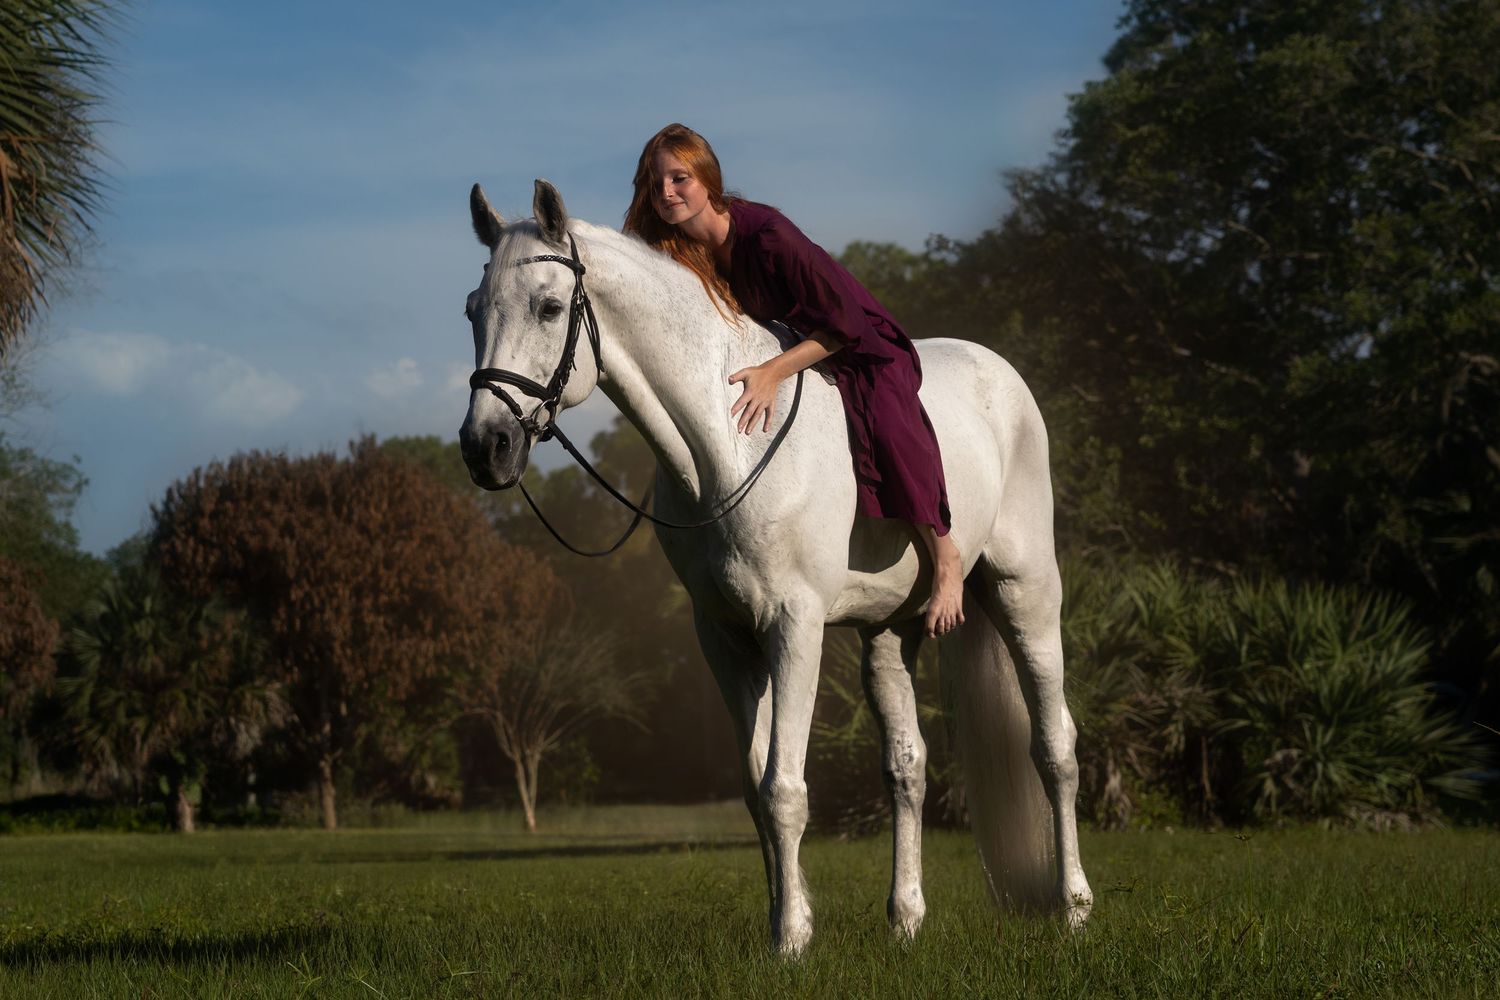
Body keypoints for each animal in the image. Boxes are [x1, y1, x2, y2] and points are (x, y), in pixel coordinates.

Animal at [458, 179, 1093, 955]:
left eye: (550, 307)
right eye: (473, 309)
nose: (485, 447)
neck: (727, 443)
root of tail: (1001, 375)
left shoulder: (794, 626)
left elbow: (784, 789)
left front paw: (792, 940)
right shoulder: (725, 637)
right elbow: (755, 786)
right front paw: (782, 924)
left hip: (1025, 594)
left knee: (1055, 748)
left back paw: (1073, 906)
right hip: (890, 633)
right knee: (906, 766)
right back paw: (906, 919)